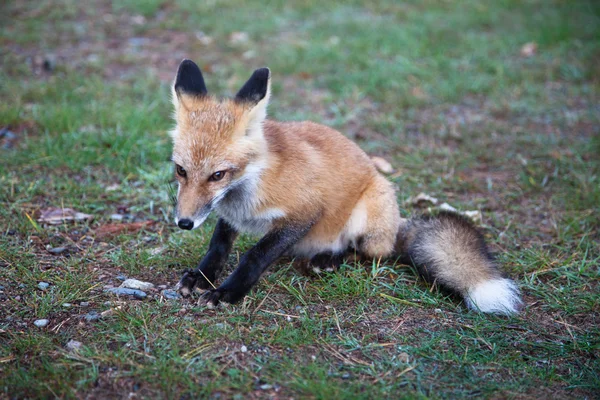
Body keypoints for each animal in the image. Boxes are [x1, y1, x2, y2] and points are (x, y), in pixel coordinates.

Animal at [171, 59, 524, 316]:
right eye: (180, 170)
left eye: (218, 175)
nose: (184, 223)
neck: (249, 185)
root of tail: (398, 225)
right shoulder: (229, 216)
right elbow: (218, 246)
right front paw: (201, 276)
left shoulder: (305, 211)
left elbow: (254, 256)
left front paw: (227, 292)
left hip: (366, 219)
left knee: (367, 253)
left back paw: (328, 260)